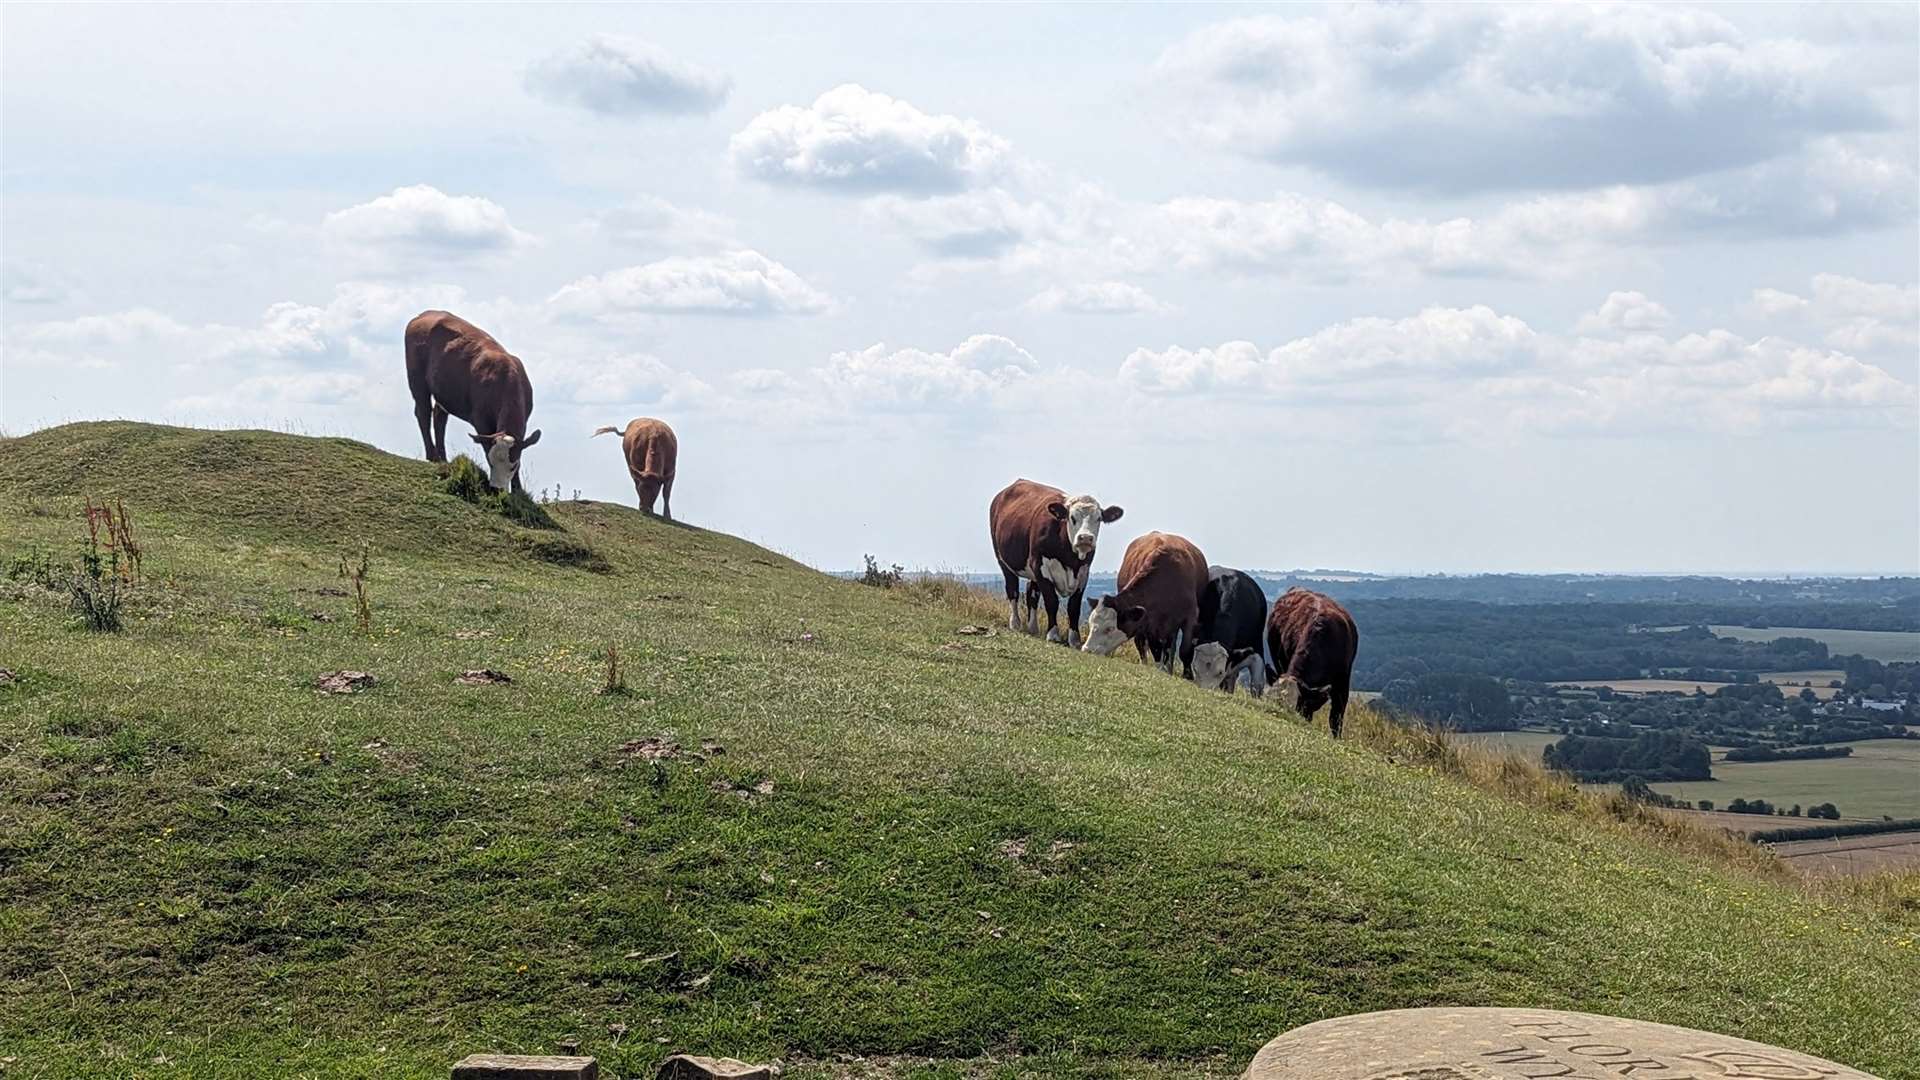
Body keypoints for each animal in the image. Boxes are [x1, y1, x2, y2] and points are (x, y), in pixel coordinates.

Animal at [405, 303, 541, 488]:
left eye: (513, 465)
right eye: (490, 462)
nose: (497, 489)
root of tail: (424, 315)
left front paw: (517, 489)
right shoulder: (480, 420)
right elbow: (484, 444)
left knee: (439, 418)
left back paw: (443, 458)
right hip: (416, 379)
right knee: (423, 413)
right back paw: (432, 455)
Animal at [990, 476, 1121, 641]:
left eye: (1099, 519)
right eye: (1072, 517)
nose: (1085, 538)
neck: (1070, 561)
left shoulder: (1084, 573)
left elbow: (1074, 607)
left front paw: (1074, 639)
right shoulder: (1041, 566)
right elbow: (1051, 601)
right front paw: (1053, 634)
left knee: (1032, 594)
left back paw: (1033, 628)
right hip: (1003, 560)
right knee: (1012, 590)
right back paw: (1015, 623)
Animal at [1082, 530, 1198, 672]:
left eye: (1109, 628)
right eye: (1090, 623)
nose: (1087, 650)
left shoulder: (1190, 618)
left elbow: (1185, 650)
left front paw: (1186, 674)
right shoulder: (1148, 623)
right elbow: (1154, 649)